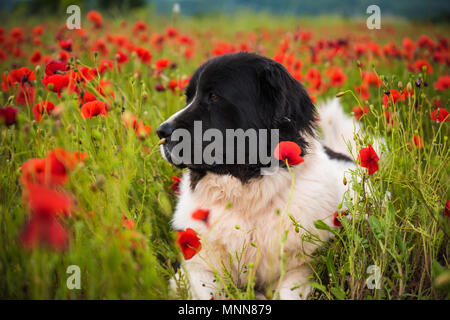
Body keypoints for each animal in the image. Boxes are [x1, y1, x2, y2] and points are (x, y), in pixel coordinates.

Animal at [158, 52, 358, 300]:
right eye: (189, 98)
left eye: (214, 96)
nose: (161, 132)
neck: (248, 197)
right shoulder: (196, 264)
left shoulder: (300, 269)